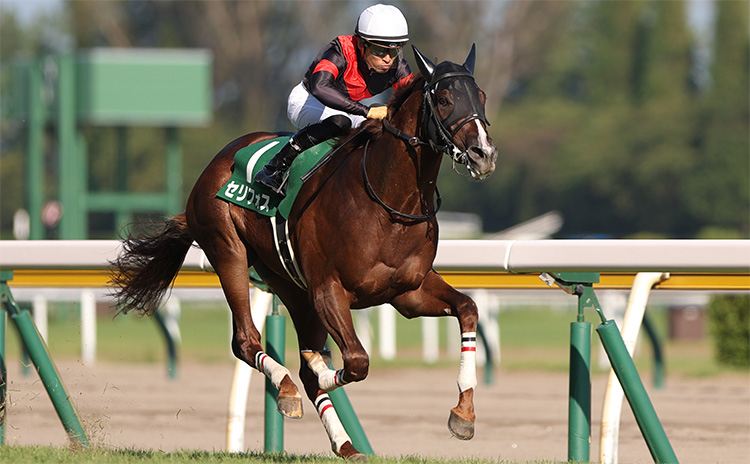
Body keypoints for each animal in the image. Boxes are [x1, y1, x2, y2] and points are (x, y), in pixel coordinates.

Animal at [110, 44, 500, 460]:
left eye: (481, 96)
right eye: (443, 99)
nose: (483, 154)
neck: (389, 201)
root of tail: (218, 160)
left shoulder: (407, 291)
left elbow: (468, 309)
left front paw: (463, 414)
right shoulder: (329, 290)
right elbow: (357, 362)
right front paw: (323, 366)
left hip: (291, 286)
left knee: (299, 366)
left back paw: (346, 444)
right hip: (227, 249)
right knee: (247, 341)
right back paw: (287, 387)